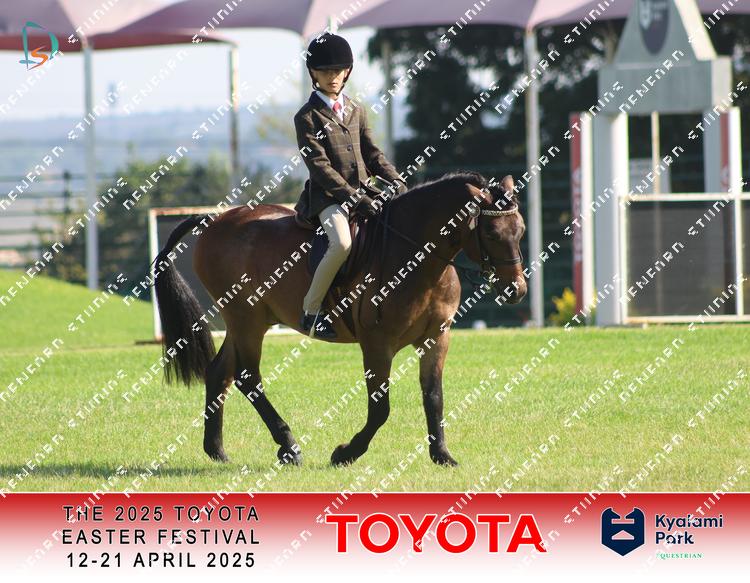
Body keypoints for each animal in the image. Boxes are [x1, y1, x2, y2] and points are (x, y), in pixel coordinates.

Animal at [153, 170, 527, 467]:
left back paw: (217, 450)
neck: (416, 257)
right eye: (491, 234)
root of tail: (215, 221)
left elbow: (434, 397)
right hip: (246, 319)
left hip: (248, 320)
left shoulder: (437, 337)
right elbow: (381, 409)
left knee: (220, 373)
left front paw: (443, 456)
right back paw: (289, 447)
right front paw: (346, 453)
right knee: (248, 378)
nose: (517, 290)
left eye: (520, 230)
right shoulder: (377, 344)